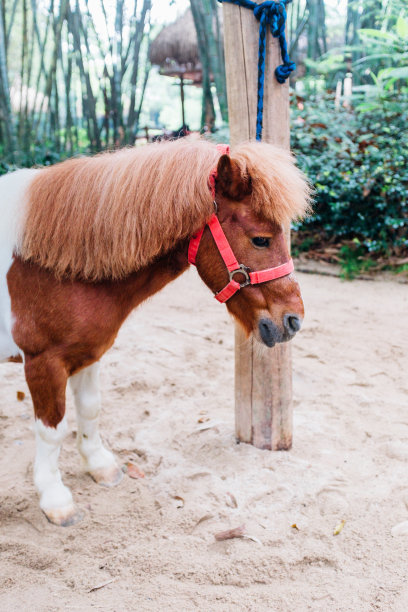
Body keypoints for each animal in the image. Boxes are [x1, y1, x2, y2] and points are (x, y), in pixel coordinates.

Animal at [0, 139, 310, 524]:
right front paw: (55, 498)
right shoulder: (43, 363)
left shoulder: (87, 352)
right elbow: (51, 430)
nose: (294, 320)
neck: (49, 264)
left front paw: (99, 465)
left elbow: (90, 408)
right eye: (261, 240)